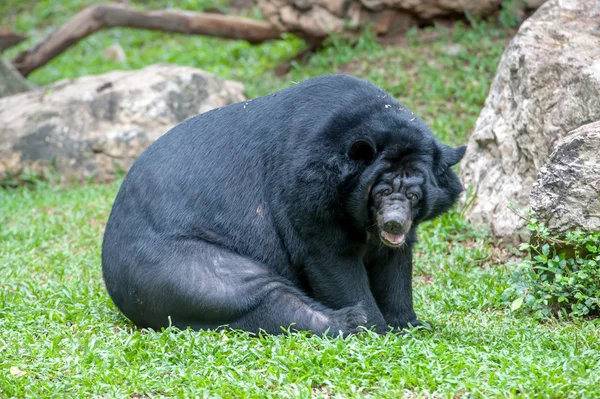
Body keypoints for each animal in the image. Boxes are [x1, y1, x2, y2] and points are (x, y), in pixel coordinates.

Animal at [103, 73, 466, 336]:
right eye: (378, 192)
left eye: (414, 195)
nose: (393, 222)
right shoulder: (305, 194)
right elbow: (330, 259)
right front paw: (378, 326)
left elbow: (394, 264)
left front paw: (411, 324)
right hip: (175, 264)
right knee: (253, 292)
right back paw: (352, 319)